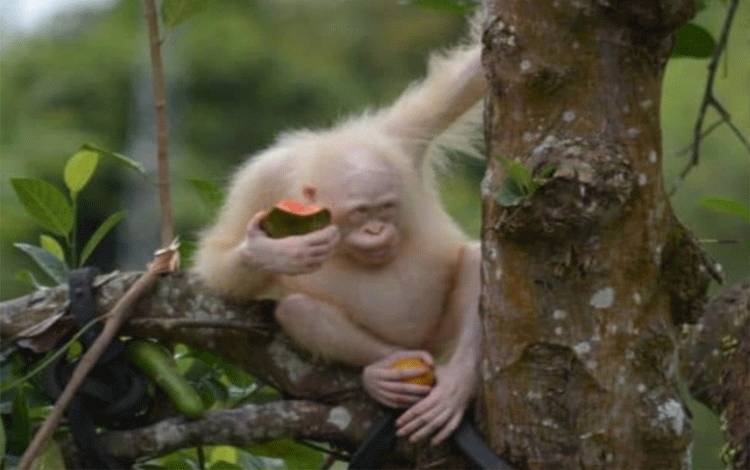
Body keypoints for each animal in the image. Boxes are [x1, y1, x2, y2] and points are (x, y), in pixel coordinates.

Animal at [194, 27, 487, 445]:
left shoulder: (404, 135)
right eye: (361, 212)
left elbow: (466, 81)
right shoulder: (260, 180)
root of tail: (418, 349)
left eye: (386, 209)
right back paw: (380, 371)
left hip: (437, 338)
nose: (376, 229)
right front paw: (269, 253)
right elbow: (218, 259)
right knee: (298, 309)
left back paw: (456, 383)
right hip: (405, 348)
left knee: (476, 259)